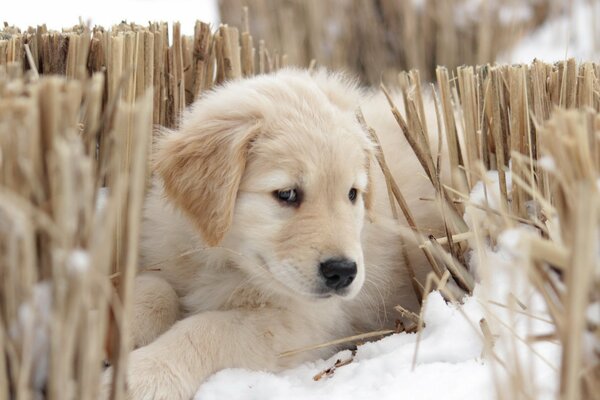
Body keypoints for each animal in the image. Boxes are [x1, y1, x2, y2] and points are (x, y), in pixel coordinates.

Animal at [110, 67, 442, 398]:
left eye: (352, 194)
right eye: (287, 194)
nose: (343, 272)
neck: (224, 259)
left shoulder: (296, 324)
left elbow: (208, 329)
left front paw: (146, 373)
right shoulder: (168, 250)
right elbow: (154, 288)